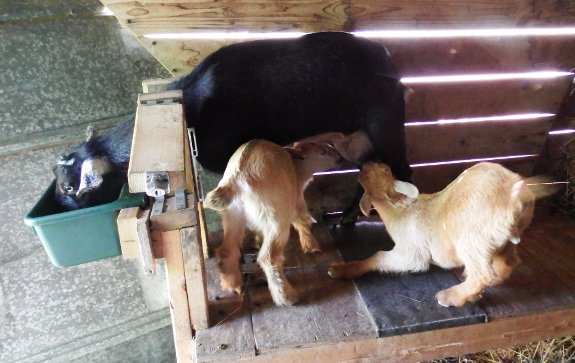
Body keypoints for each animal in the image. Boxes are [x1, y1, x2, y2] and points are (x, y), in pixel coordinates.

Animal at [54, 31, 412, 219]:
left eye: (69, 187)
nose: (59, 204)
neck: (192, 101)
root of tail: (385, 54)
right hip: (352, 140)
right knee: (369, 172)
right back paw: (346, 220)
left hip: (385, 123)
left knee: (401, 169)